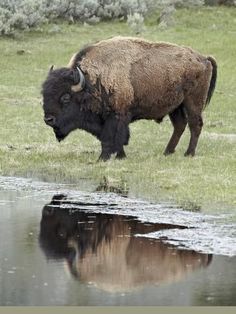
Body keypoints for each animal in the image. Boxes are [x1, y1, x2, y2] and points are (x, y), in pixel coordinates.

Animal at [41, 35, 217, 161]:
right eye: (44, 94)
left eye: (65, 97)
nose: (48, 119)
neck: (91, 83)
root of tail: (204, 58)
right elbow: (115, 139)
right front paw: (120, 156)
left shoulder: (117, 115)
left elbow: (110, 137)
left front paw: (103, 158)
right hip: (176, 106)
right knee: (180, 125)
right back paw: (167, 152)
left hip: (193, 102)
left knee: (195, 125)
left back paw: (189, 153)